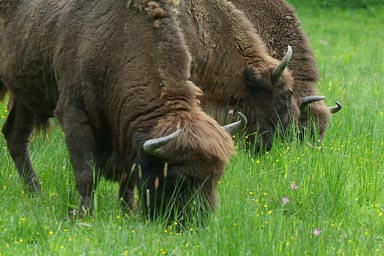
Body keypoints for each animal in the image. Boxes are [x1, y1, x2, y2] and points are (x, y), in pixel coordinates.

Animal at [0, 0, 246, 221]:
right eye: (178, 177)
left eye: (216, 177)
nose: (198, 221)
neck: (118, 43)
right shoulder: (75, 117)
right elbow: (86, 174)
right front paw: (84, 215)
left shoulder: (125, 136)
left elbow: (127, 179)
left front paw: (127, 212)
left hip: (24, 96)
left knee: (15, 137)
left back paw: (35, 193)